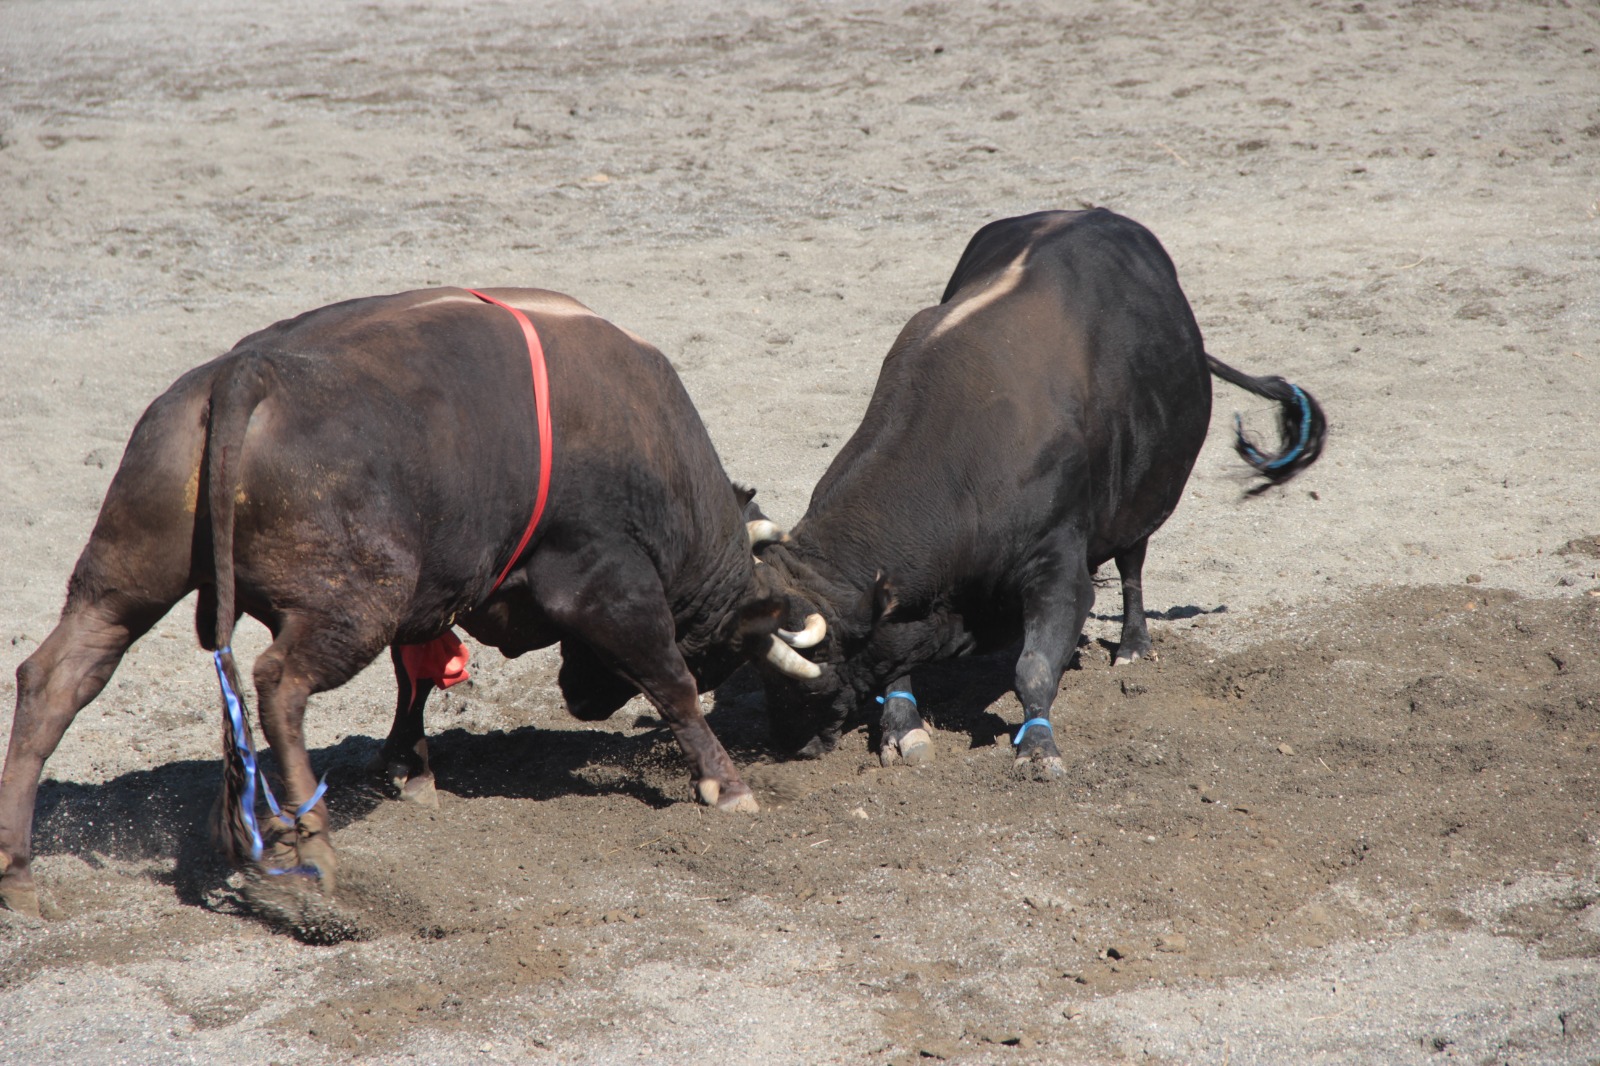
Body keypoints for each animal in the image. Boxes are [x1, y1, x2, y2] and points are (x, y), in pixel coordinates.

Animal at [0, 288, 806, 915]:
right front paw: (727, 784)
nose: (581, 701)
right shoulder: (608, 581)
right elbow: (671, 682)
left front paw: (410, 766)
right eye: (721, 657)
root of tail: (245, 372)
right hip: (352, 605)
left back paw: (19, 873)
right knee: (279, 684)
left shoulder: (435, 595)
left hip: (124, 582)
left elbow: (414, 678)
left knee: (56, 678)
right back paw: (316, 844)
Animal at [748, 209, 1324, 765]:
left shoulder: (1060, 567)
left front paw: (1038, 746)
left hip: (1143, 500)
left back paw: (1133, 644)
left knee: (1133, 563)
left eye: (816, 667)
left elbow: (1034, 667)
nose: (785, 745)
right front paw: (901, 728)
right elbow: (896, 661)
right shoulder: (904, 606)